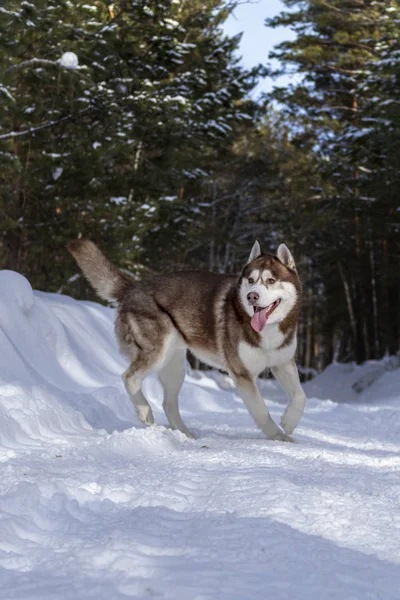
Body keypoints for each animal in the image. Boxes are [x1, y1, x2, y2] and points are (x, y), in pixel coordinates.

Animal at [68, 239, 306, 440]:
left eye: (271, 280)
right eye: (250, 280)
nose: (252, 296)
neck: (269, 330)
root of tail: (133, 287)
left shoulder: (283, 363)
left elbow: (300, 396)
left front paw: (289, 422)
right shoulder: (243, 375)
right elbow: (261, 410)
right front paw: (278, 437)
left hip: (174, 367)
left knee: (168, 403)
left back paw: (185, 434)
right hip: (158, 354)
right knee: (129, 377)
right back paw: (145, 411)